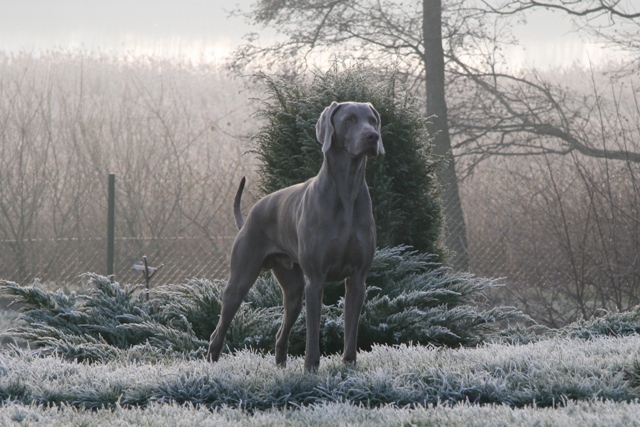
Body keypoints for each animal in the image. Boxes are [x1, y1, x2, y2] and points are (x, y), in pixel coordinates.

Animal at [208, 102, 382, 372]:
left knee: (281, 333)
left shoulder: (357, 279)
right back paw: (212, 367)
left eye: (373, 120)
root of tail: (249, 217)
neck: (346, 189)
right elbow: (313, 330)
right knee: (218, 330)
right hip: (240, 280)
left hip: (293, 289)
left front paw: (349, 365)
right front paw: (311, 368)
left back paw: (281, 368)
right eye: (350, 119)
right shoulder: (316, 280)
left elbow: (351, 329)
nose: (373, 137)